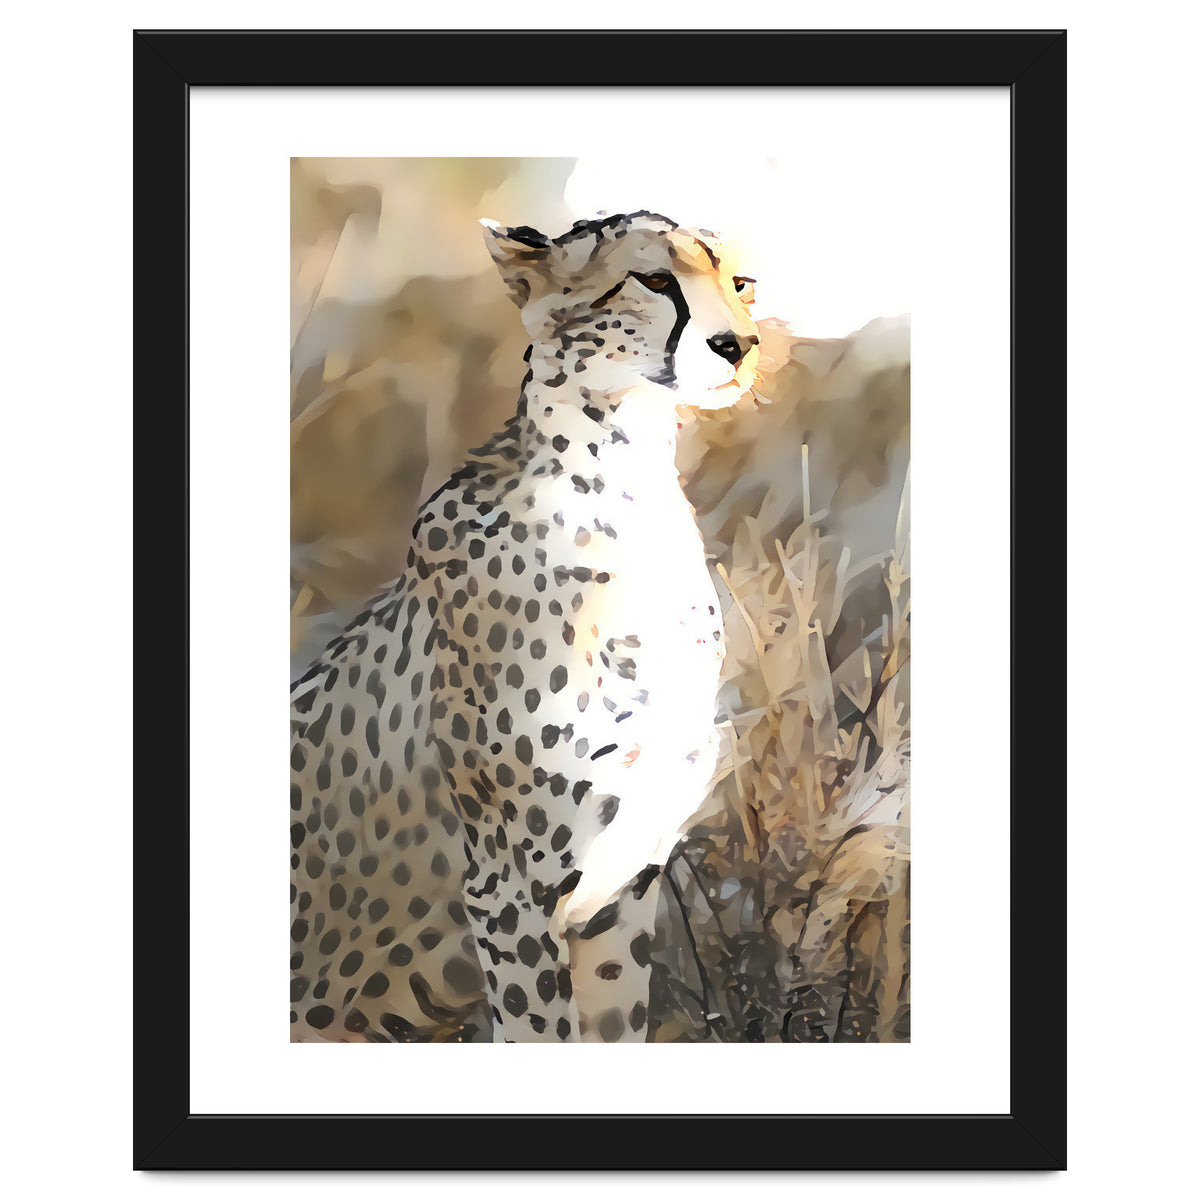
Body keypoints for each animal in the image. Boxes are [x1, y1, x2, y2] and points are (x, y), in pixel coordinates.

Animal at [290, 210, 760, 1042]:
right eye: (654, 278)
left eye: (740, 283)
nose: (740, 345)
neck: (626, 488)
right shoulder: (508, 893)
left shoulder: (617, 895)